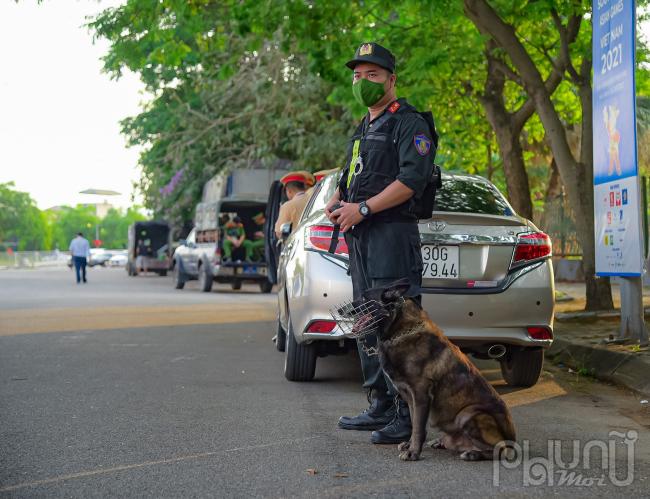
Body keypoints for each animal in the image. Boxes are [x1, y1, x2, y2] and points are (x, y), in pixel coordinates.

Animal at [352, 280, 512, 462]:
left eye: (363, 298)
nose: (344, 310)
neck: (400, 330)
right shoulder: (411, 397)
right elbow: (414, 423)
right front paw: (410, 445)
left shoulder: (421, 394)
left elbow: (418, 427)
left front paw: (413, 452)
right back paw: (442, 442)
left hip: (470, 414)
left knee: (499, 450)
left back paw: (473, 453)